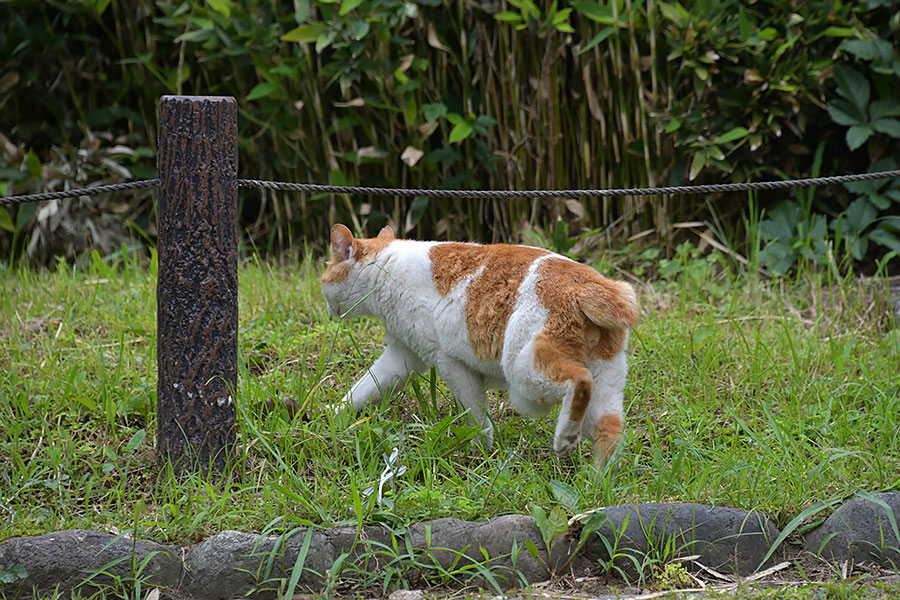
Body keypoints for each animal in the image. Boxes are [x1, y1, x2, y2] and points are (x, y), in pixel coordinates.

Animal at [318, 223, 640, 462]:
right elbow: (366, 387)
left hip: (524, 373)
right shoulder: (404, 355)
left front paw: (483, 452)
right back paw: (597, 487)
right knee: (609, 431)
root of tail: (588, 284)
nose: (328, 309)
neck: (387, 266)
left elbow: (475, 414)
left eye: (324, 276)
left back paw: (565, 439)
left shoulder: (448, 362)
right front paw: (333, 415)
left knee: (579, 382)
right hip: (605, 380)